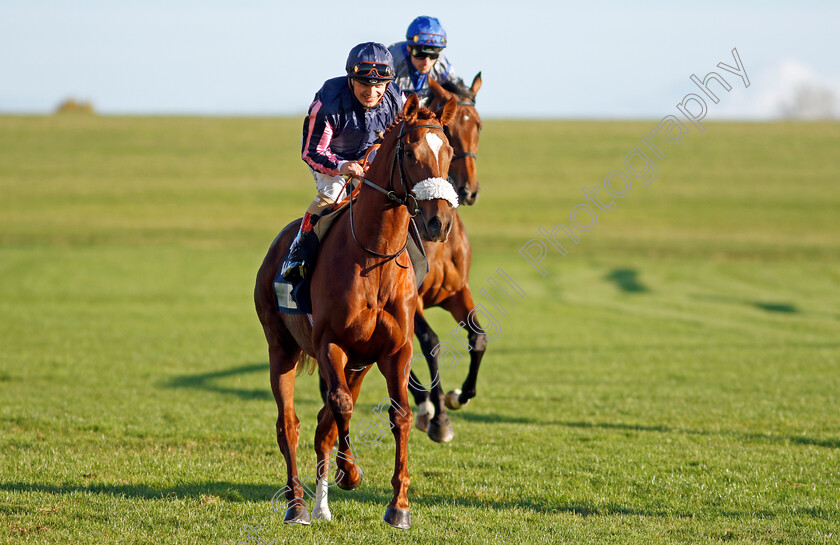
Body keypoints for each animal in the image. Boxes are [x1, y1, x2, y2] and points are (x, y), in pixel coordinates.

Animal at [253, 94, 456, 528]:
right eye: (410, 152)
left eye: (448, 152)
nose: (439, 221)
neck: (374, 256)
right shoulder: (330, 344)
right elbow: (341, 407)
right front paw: (351, 474)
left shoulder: (395, 351)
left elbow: (400, 415)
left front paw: (399, 506)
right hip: (282, 348)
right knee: (290, 425)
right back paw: (298, 505)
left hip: (358, 365)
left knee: (322, 426)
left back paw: (321, 506)